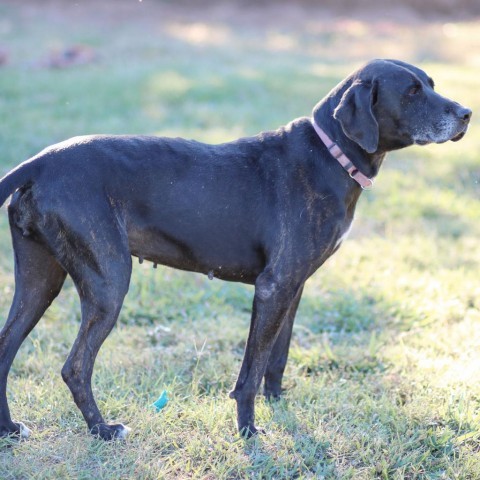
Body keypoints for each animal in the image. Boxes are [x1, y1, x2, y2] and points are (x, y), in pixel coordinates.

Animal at [0, 59, 472, 438]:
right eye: (411, 92)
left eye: (431, 83)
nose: (467, 113)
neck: (330, 155)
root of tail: (40, 162)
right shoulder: (273, 287)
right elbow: (251, 370)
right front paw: (249, 431)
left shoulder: (292, 288)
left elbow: (276, 359)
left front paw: (280, 406)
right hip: (108, 281)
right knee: (76, 367)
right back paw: (102, 430)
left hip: (40, 280)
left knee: (5, 350)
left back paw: (9, 429)